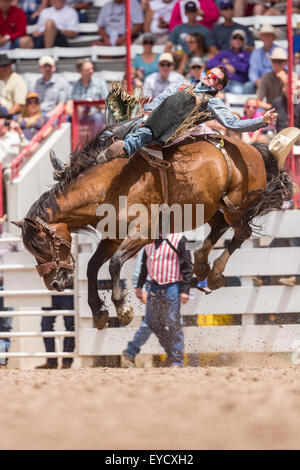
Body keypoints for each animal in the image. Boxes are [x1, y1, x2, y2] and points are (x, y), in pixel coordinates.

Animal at [12, 123, 292, 332]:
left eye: (43, 244)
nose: (54, 284)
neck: (108, 186)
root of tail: (253, 150)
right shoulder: (113, 237)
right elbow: (92, 267)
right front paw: (99, 312)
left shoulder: (142, 233)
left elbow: (114, 263)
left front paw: (122, 309)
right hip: (211, 208)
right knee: (220, 227)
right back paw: (202, 264)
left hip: (236, 207)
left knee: (242, 232)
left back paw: (214, 272)